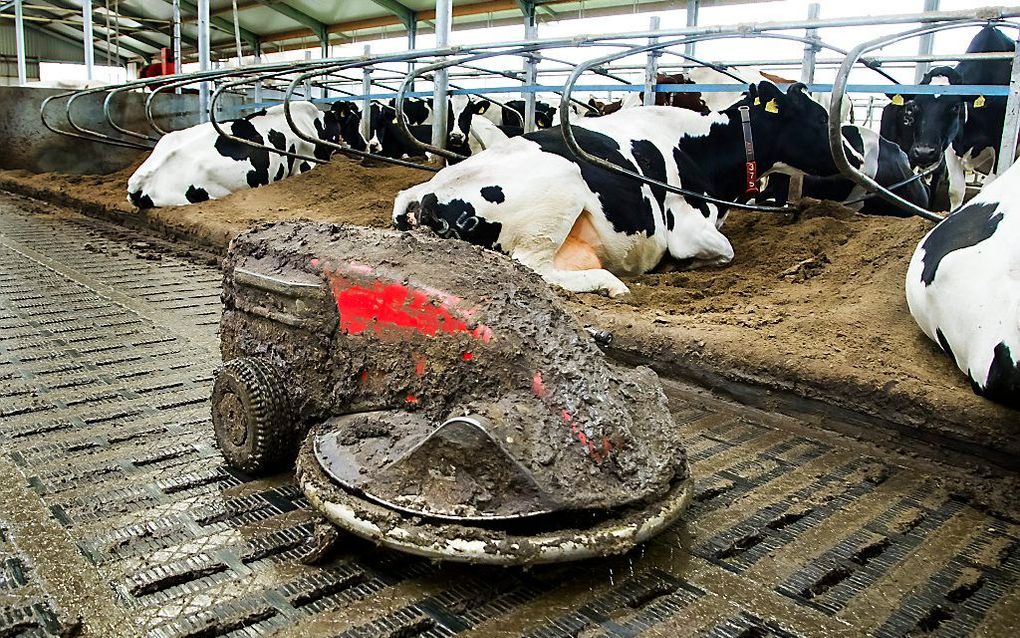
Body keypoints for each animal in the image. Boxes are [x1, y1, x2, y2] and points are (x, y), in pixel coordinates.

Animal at [389, 81, 836, 296]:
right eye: (819, 117)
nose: (843, 152)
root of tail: (427, 194)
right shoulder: (687, 229)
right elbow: (724, 251)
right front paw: (686, 266)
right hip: (558, 192)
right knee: (532, 268)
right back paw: (611, 284)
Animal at [885, 26, 1011, 208]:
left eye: (955, 107)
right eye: (915, 105)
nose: (924, 152)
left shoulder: (1000, 147)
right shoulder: (951, 146)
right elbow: (956, 191)